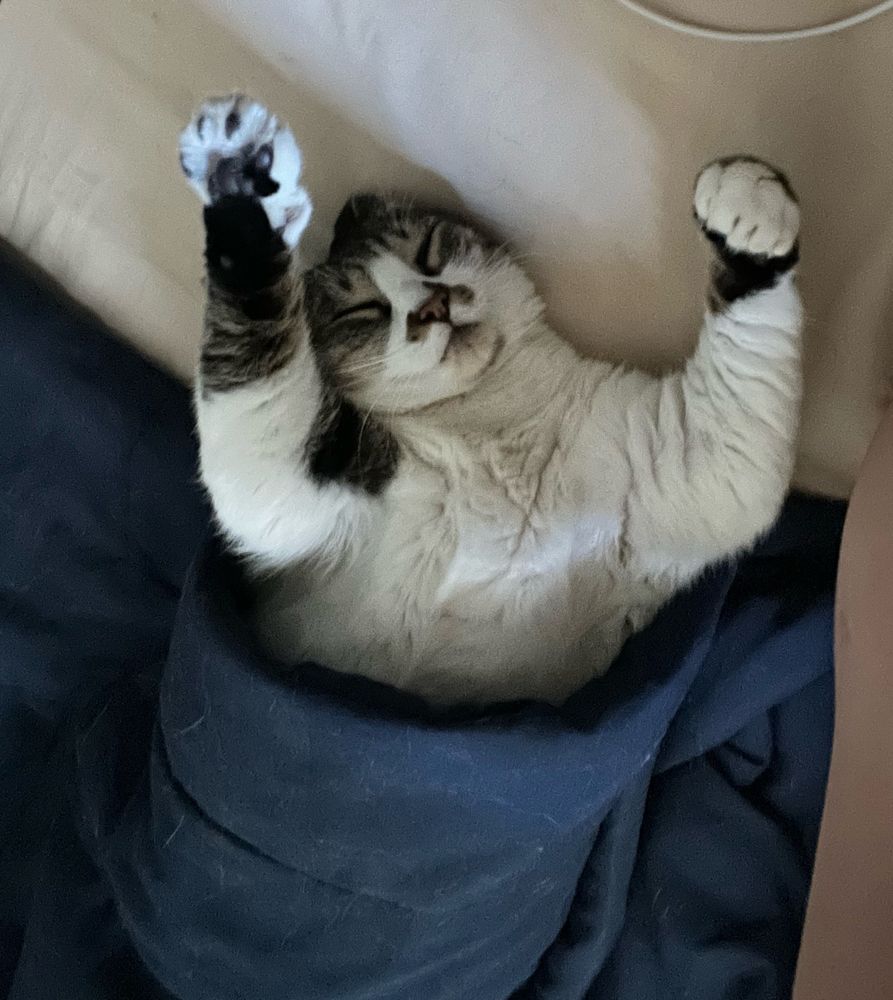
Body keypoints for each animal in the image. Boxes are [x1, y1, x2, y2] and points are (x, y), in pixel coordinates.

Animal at [179, 95, 802, 706]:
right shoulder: (292, 491)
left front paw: (749, 205)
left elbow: (738, 424)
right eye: (363, 310)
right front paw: (237, 191)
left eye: (429, 252)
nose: (431, 306)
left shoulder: (691, 463)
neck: (494, 426)